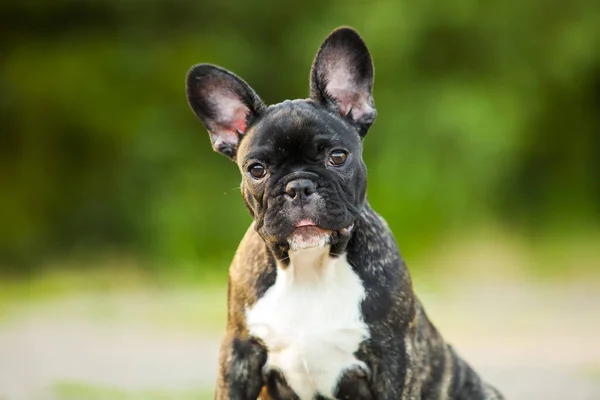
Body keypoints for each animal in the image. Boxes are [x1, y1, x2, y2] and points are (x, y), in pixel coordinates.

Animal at [185, 27, 504, 400]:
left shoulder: (394, 357)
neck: (310, 267)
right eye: (257, 169)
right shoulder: (238, 354)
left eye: (337, 157)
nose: (299, 186)